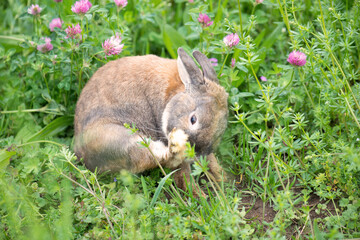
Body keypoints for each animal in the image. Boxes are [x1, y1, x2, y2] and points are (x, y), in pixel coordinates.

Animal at [74, 47, 229, 194]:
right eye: (193, 119)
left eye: (220, 134)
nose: (196, 152)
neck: (174, 94)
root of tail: (82, 156)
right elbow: (181, 173)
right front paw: (196, 192)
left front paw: (222, 178)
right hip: (122, 139)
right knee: (160, 157)